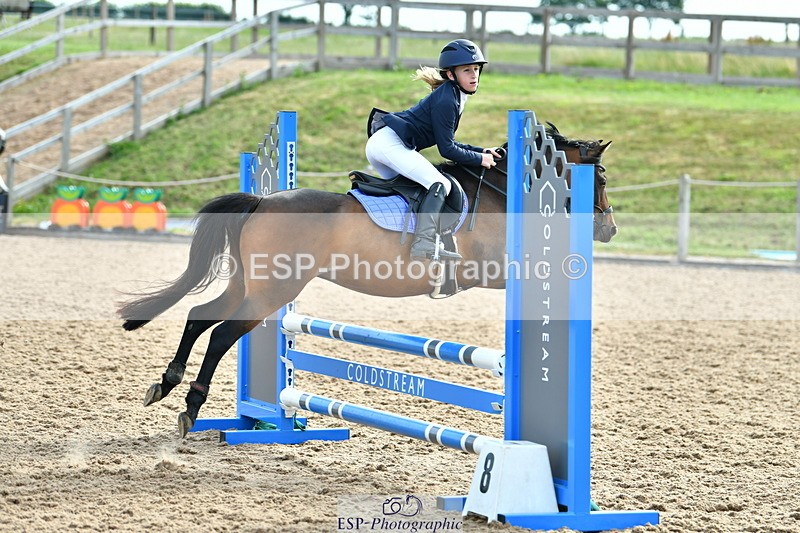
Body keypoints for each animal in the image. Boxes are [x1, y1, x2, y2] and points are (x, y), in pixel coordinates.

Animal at [118, 124, 615, 437]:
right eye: (602, 180)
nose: (608, 230)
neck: (504, 192)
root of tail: (261, 201)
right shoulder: (494, 268)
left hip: (249, 285)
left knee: (199, 316)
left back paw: (167, 384)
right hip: (273, 292)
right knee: (222, 334)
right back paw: (190, 406)